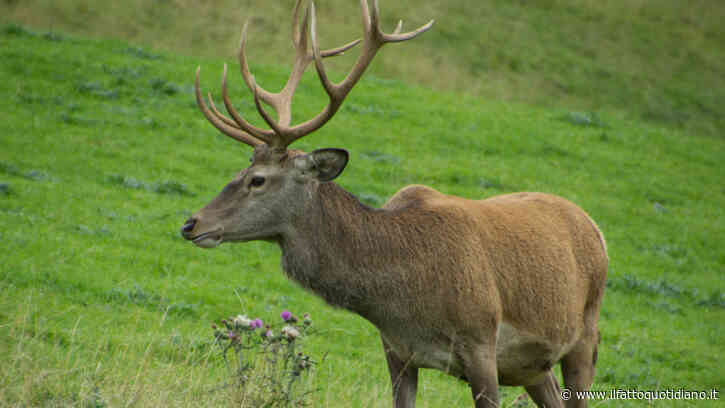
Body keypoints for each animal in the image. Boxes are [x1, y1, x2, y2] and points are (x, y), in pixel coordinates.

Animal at [179, 1, 608, 407]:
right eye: (242, 170)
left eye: (258, 179)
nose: (191, 224)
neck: (403, 299)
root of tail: (595, 227)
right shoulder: (396, 351)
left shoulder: (481, 342)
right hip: (531, 366)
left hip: (585, 335)